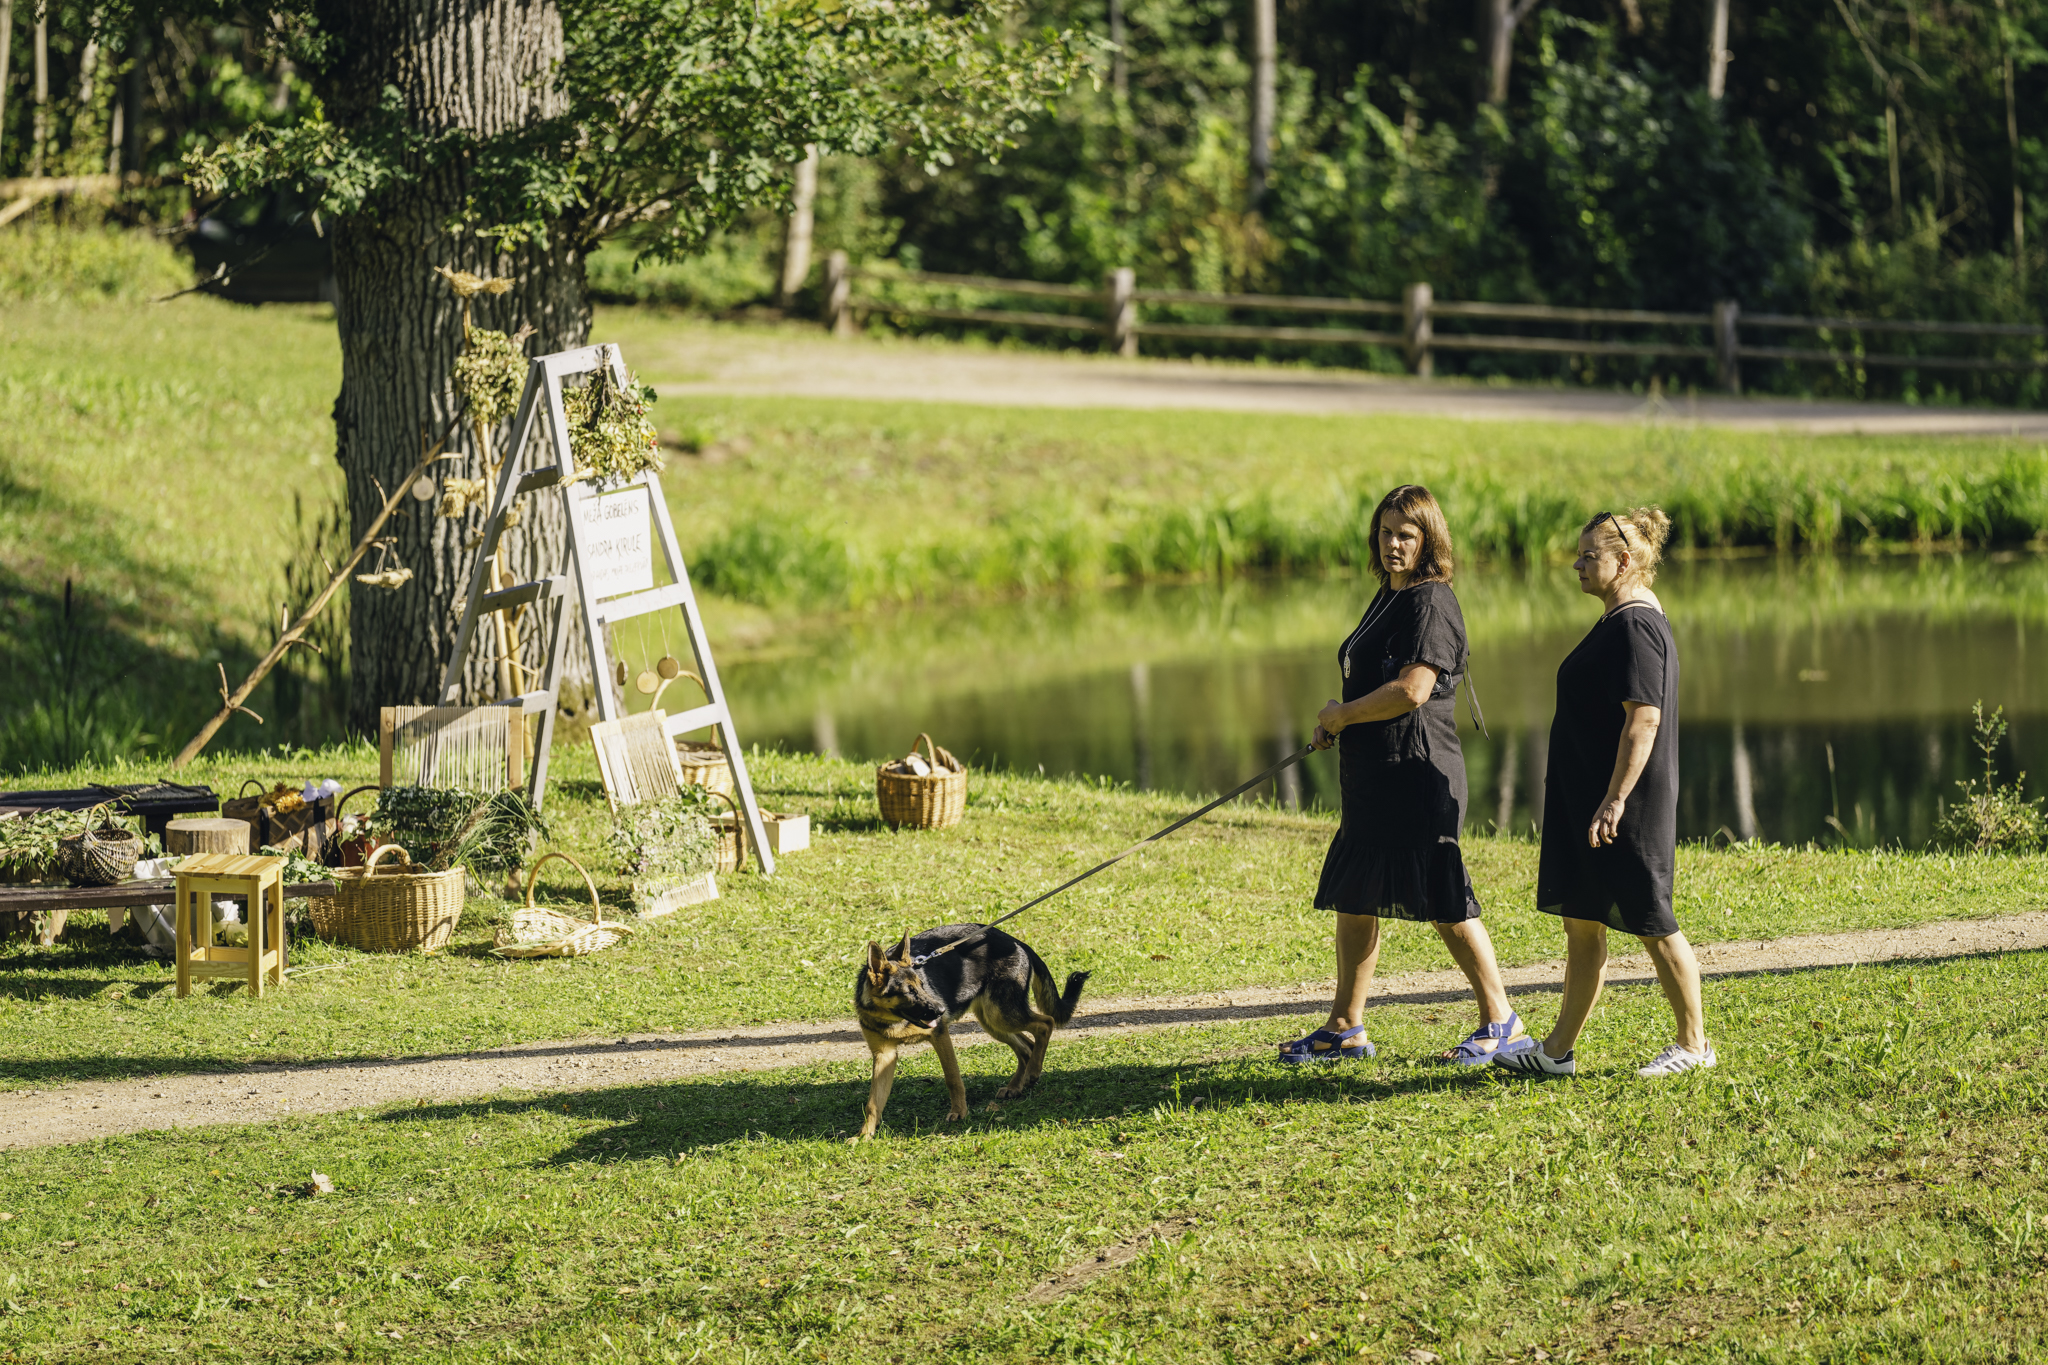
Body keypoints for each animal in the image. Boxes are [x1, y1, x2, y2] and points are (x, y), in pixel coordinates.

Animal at [851, 925, 1089, 1137]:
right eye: (908, 991)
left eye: (921, 985)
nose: (942, 1010)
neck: (889, 1018)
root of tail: (1016, 942)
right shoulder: (885, 1056)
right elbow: (873, 1102)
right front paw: (864, 1135)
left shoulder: (940, 1036)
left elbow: (952, 1078)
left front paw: (959, 1111)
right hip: (993, 1021)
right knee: (1026, 1047)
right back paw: (1016, 1086)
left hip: (1001, 1015)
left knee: (1045, 1024)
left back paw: (1033, 1072)